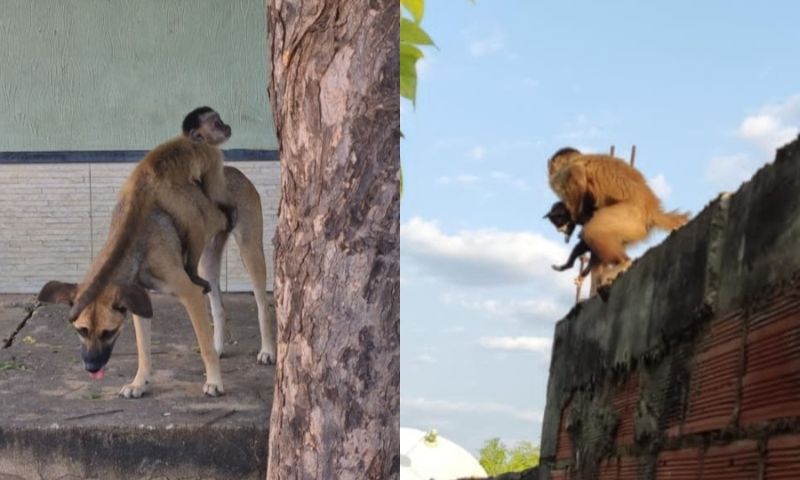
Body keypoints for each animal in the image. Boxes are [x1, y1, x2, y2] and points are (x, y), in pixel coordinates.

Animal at [68, 108, 233, 318]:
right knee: (195, 220)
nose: (226, 126)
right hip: (168, 192)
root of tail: (143, 173)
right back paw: (192, 273)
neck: (195, 141)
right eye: (217, 123)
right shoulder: (213, 154)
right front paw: (229, 211)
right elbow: (214, 195)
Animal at [548, 146, 692, 286]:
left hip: (630, 218)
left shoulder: (563, 175)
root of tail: (652, 210)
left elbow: (579, 176)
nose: (559, 229)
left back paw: (623, 262)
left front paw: (576, 217)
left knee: (592, 231)